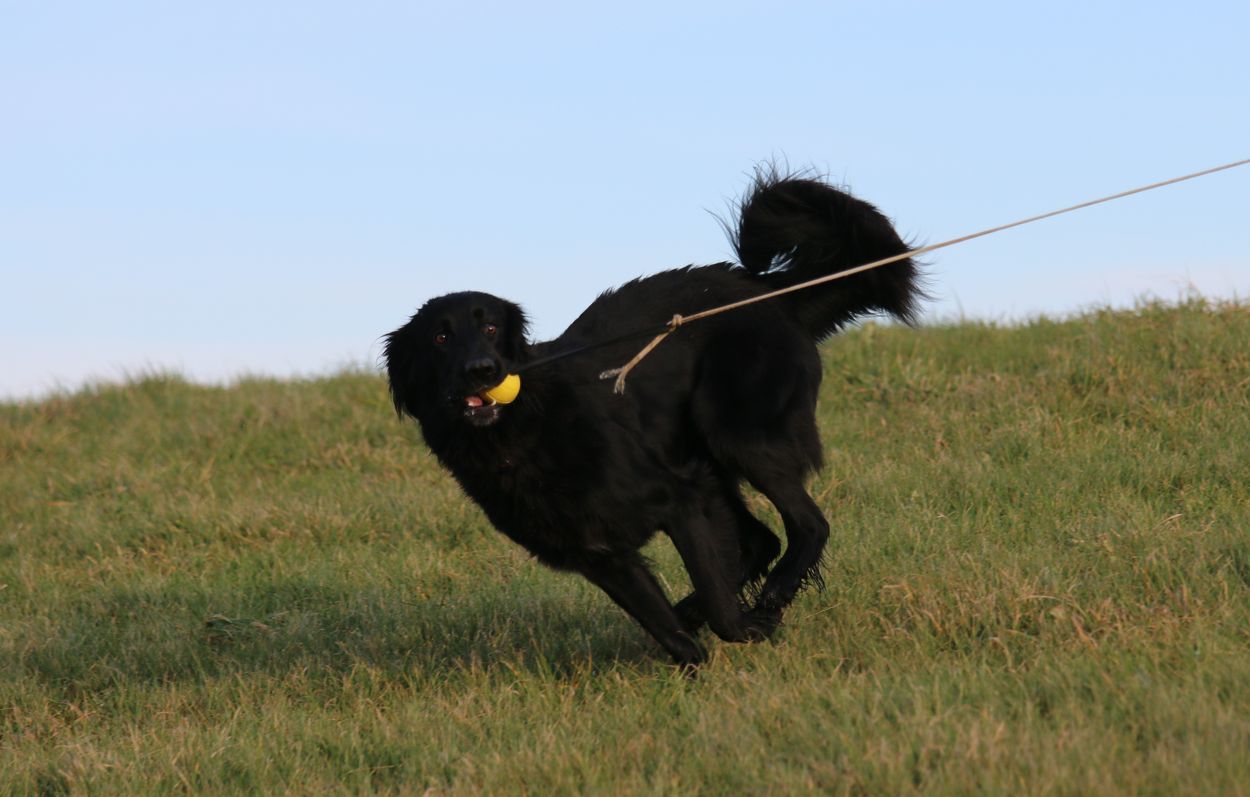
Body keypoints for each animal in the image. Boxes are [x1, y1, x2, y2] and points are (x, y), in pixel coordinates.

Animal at [384, 169, 922, 665]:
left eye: (492, 328)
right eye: (440, 338)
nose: (483, 369)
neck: (524, 432)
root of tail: (772, 291)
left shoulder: (678, 499)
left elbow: (719, 606)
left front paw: (749, 629)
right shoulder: (600, 555)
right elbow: (668, 630)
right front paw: (693, 664)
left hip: (734, 432)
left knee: (808, 526)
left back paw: (772, 598)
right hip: (710, 464)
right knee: (760, 541)